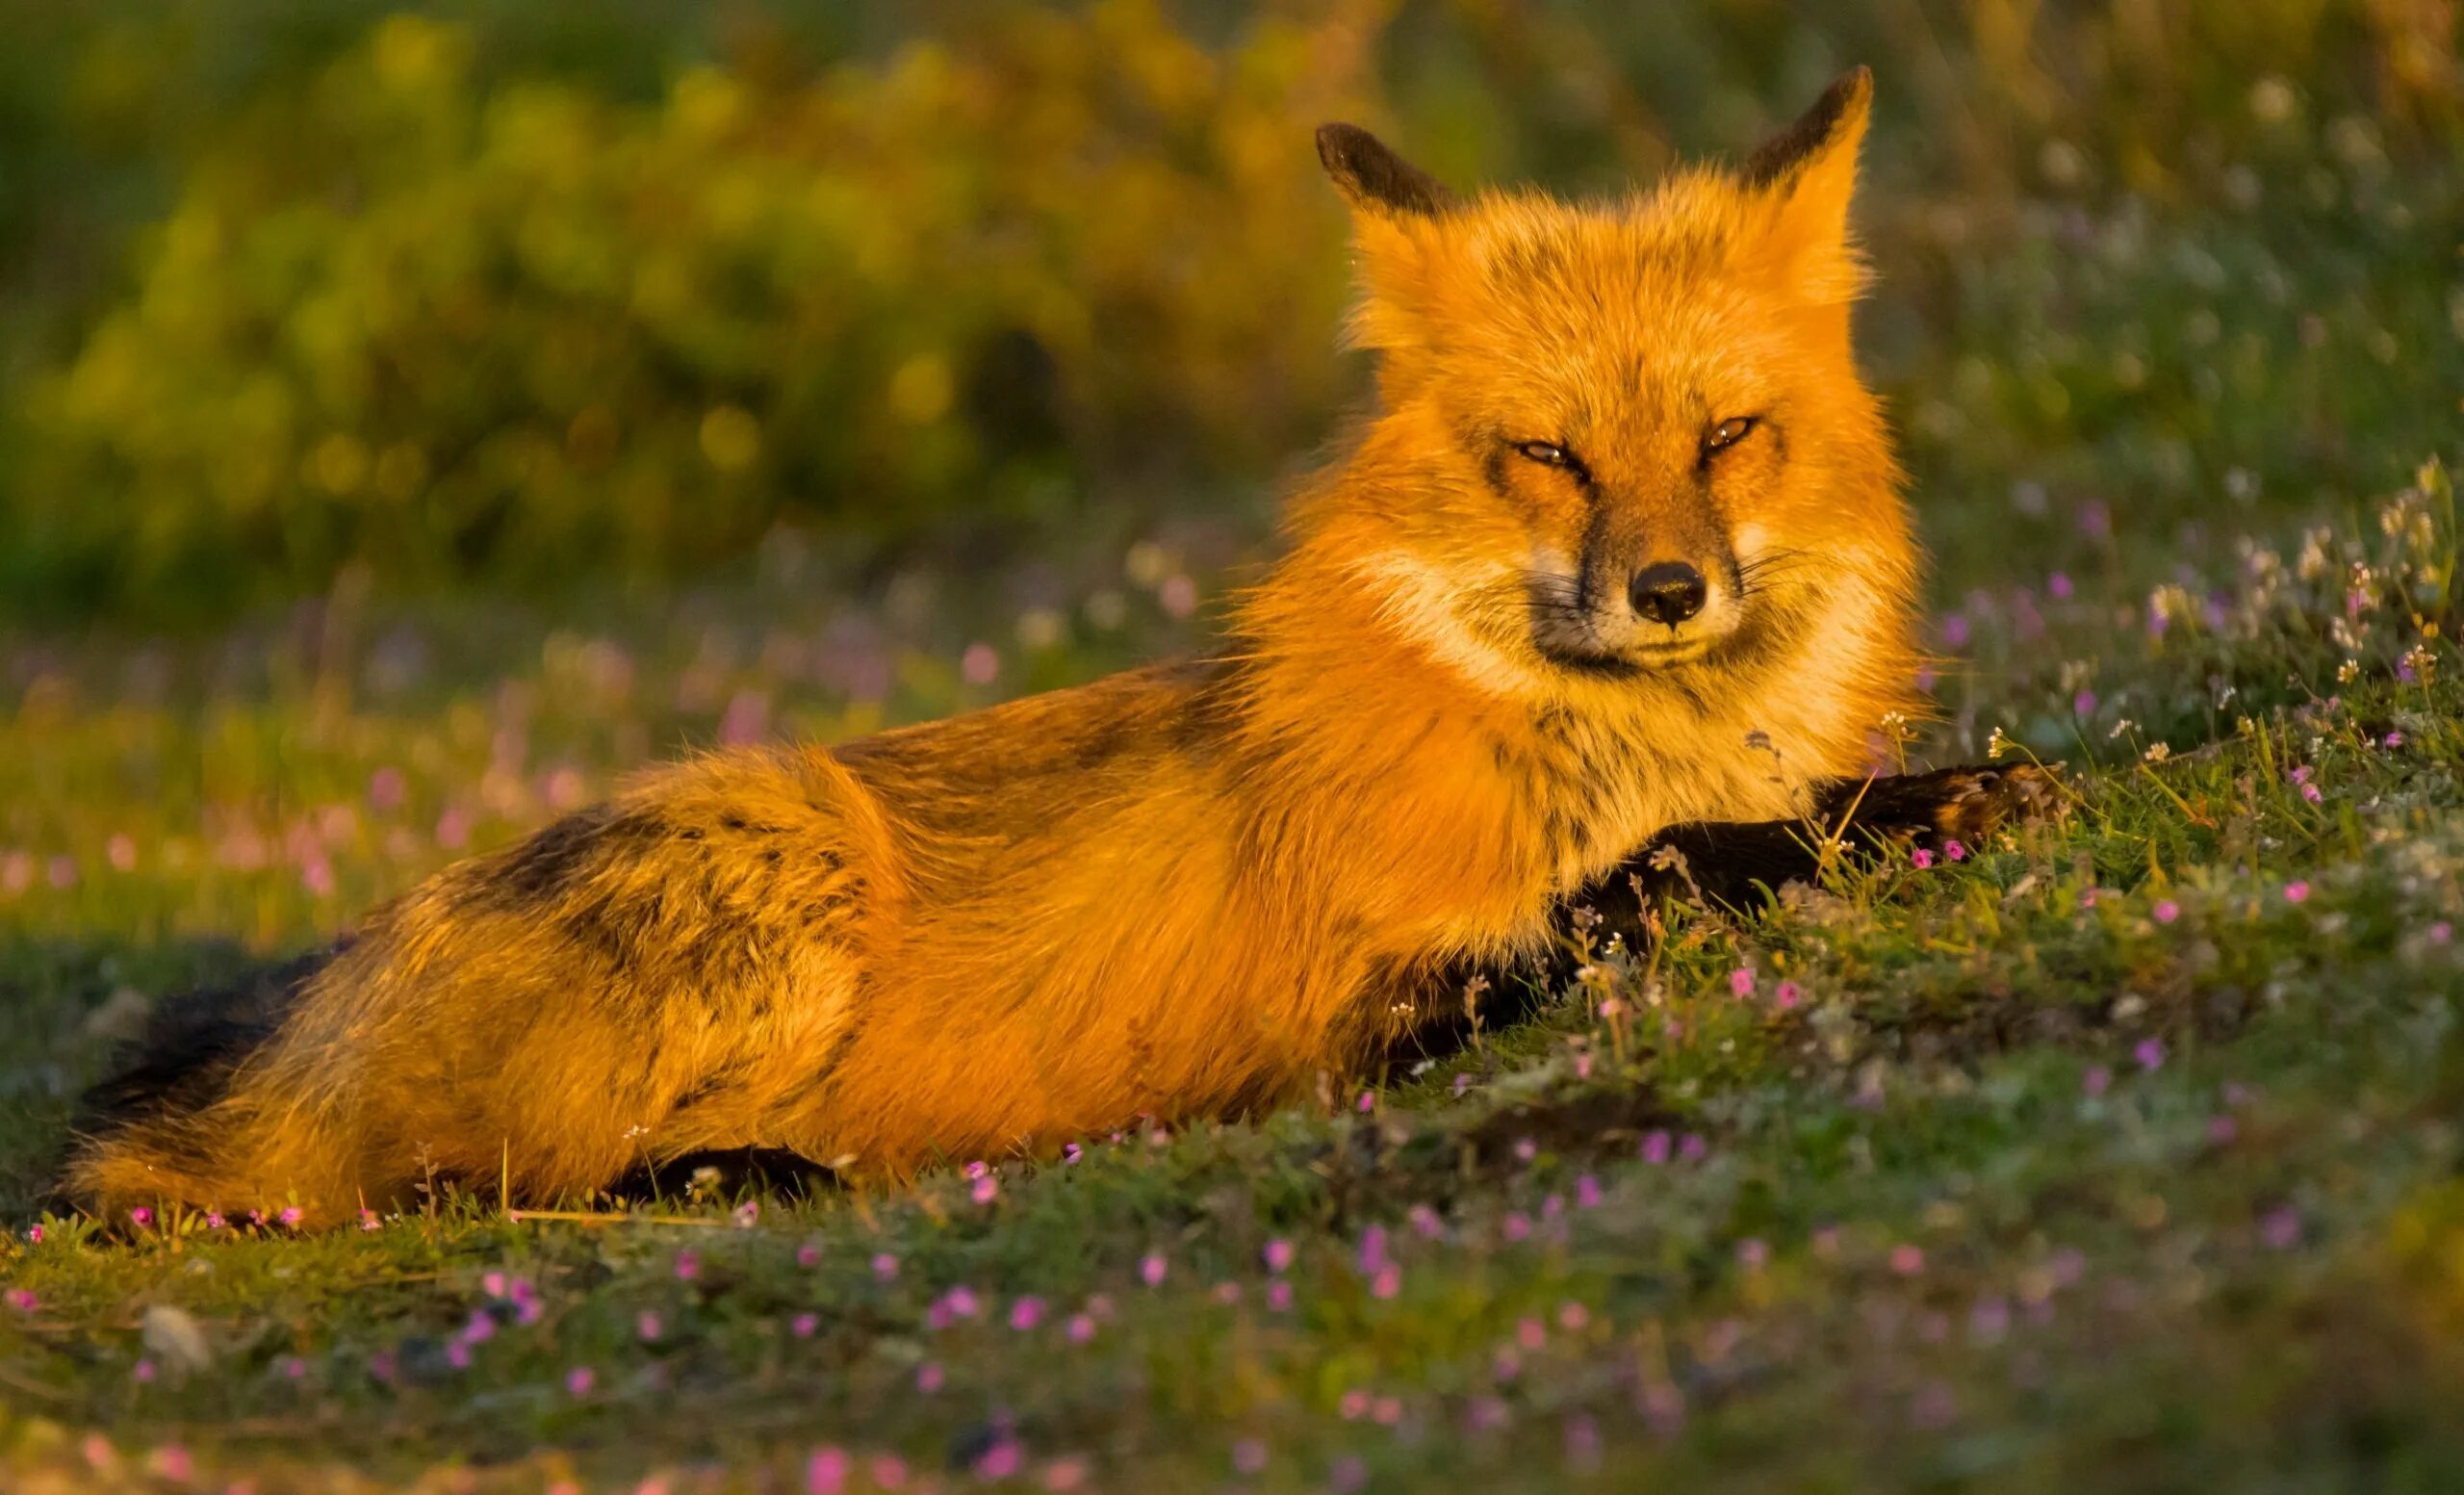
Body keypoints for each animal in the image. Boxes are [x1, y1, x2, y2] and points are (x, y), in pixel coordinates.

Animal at [62, 69, 2060, 1226]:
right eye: (1548, 456)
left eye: (1728, 437)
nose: (1665, 591)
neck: (1613, 742)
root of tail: (291, 1021)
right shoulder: (1364, 1018)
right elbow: (1666, 867)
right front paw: (1877, 821)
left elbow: (1777, 819)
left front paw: (1959, 789)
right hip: (772, 855)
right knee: (461, 1189)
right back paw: (742, 1173)